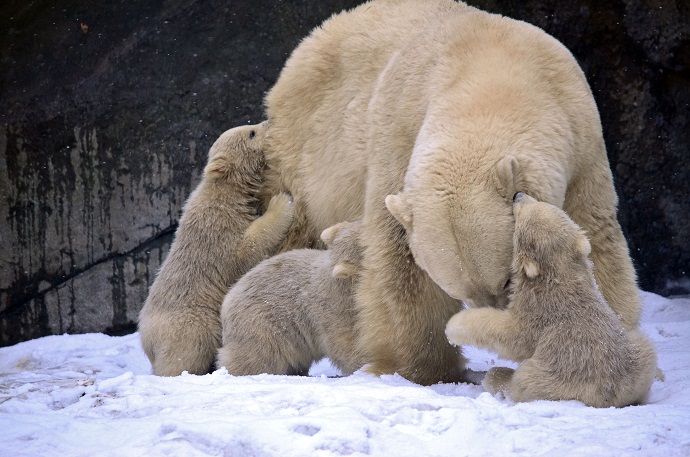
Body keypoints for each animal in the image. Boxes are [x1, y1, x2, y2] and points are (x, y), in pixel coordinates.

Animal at [260, 0, 636, 384]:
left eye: (507, 279)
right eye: (464, 291)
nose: (502, 313)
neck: (491, 76)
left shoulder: (581, 136)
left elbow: (595, 238)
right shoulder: (399, 133)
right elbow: (402, 260)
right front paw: (423, 367)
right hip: (306, 151)